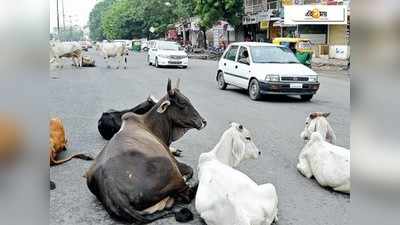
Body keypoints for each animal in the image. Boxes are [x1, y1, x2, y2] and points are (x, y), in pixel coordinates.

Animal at [86, 78, 208, 223]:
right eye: (183, 103)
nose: (203, 121)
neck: (150, 125)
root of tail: (111, 186)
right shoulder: (175, 162)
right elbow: (190, 169)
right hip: (171, 169)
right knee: (187, 193)